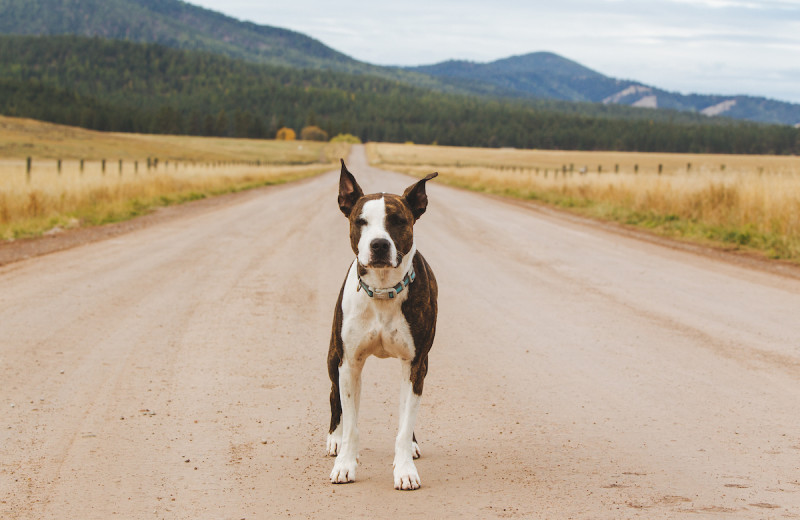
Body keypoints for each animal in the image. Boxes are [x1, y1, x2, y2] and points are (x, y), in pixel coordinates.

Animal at [324, 160, 438, 490]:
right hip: (333, 357)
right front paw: (345, 464)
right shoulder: (349, 363)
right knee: (334, 397)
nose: (378, 244)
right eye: (360, 221)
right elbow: (351, 424)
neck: (383, 290)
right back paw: (334, 440)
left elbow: (405, 421)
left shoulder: (416, 363)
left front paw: (404, 469)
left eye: (399, 221)